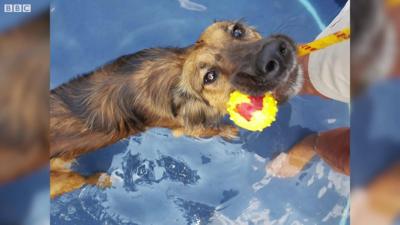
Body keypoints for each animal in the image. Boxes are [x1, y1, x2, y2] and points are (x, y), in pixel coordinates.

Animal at [50, 20, 302, 197]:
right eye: (210, 76)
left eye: (237, 31)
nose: (275, 52)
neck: (176, 70)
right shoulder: (186, 129)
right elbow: (211, 129)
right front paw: (228, 131)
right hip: (63, 180)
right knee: (83, 180)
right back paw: (101, 178)